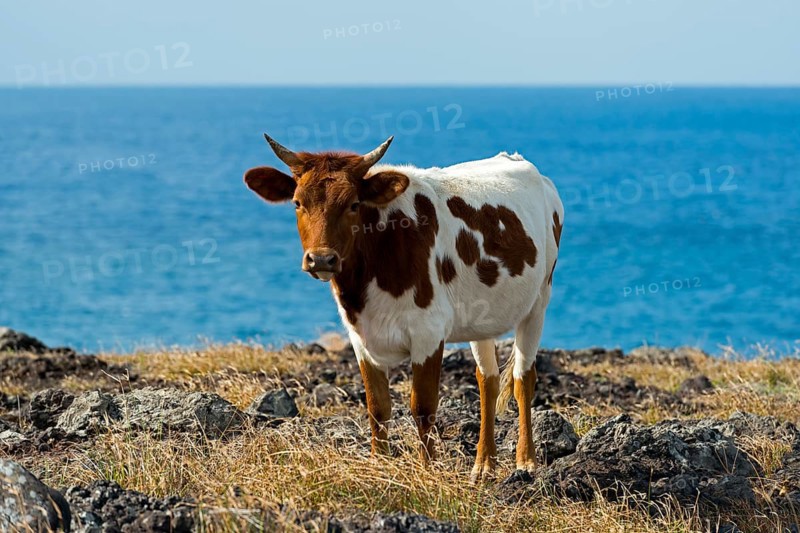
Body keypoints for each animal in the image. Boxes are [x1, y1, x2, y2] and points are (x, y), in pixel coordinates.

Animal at [244, 135, 563, 479]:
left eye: (353, 204)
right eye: (297, 203)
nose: (321, 259)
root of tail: (518, 160)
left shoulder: (428, 332)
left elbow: (422, 407)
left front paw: (427, 470)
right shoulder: (360, 338)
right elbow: (377, 407)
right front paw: (378, 464)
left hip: (539, 302)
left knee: (523, 378)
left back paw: (526, 460)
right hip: (483, 318)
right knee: (487, 379)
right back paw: (484, 464)